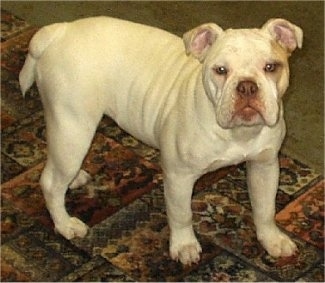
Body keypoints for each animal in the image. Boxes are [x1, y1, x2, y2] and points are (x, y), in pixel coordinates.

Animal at [19, 16, 302, 266]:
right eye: (221, 70)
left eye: (271, 67)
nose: (247, 86)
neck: (239, 133)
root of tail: (59, 31)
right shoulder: (179, 176)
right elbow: (181, 214)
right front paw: (184, 246)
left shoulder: (265, 166)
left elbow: (265, 208)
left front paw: (272, 240)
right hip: (73, 128)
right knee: (50, 182)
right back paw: (65, 224)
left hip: (69, 133)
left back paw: (75, 179)